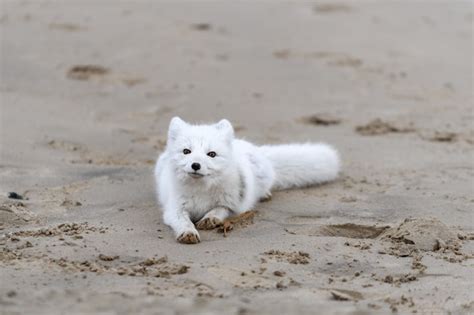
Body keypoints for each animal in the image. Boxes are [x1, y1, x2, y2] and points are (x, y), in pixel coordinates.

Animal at [154, 118, 338, 244]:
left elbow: (220, 209)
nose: (195, 165)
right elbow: (183, 221)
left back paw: (264, 194)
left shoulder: (234, 204)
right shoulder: (174, 209)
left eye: (211, 154)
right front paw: (188, 233)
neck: (201, 191)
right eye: (186, 151)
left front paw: (210, 218)